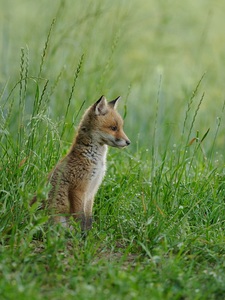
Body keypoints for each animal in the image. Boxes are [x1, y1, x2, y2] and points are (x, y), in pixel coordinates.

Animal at [32, 95, 130, 231]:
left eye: (121, 127)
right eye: (113, 128)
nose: (128, 142)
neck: (95, 159)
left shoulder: (91, 191)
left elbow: (88, 218)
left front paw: (90, 233)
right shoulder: (78, 188)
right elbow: (80, 218)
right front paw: (82, 234)